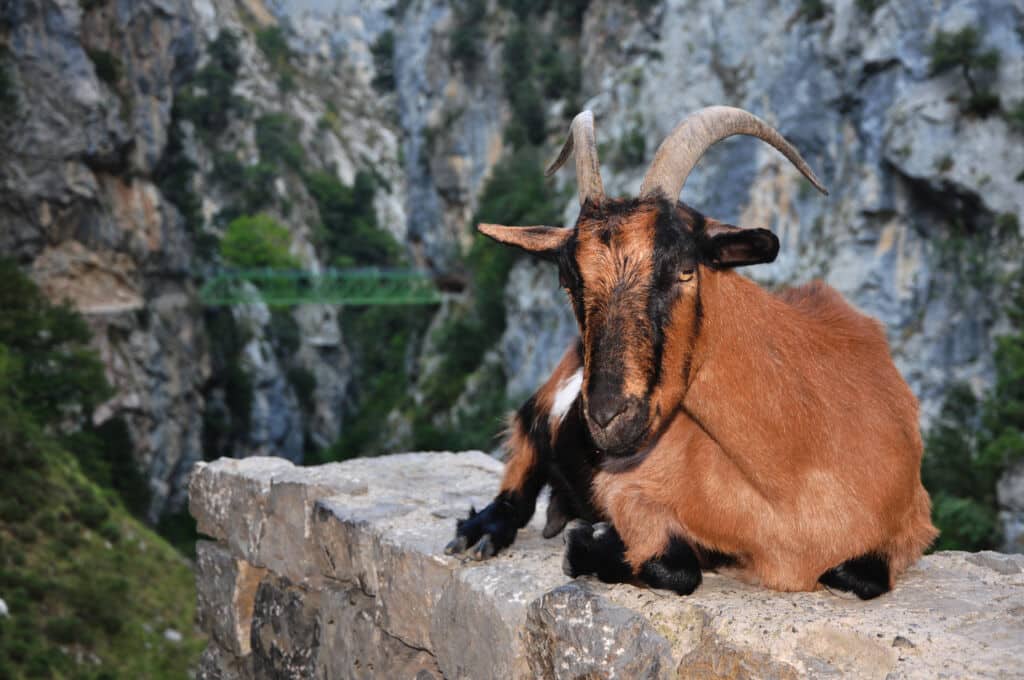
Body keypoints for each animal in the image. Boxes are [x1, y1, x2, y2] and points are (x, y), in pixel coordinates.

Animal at [444, 107, 937, 599]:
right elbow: (676, 566)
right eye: (568, 280)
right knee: (524, 445)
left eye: (684, 269)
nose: (606, 416)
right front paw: (591, 543)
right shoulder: (630, 490)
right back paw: (481, 532)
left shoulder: (911, 526)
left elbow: (860, 574)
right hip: (557, 391)